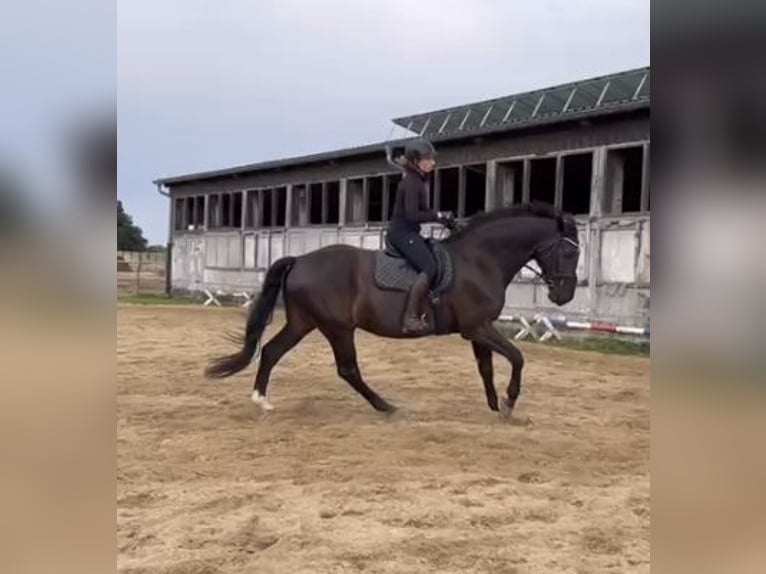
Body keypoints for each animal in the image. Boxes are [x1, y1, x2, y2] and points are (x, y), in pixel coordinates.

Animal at [204, 202, 584, 418]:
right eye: (569, 252)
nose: (564, 295)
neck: (480, 259)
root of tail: (299, 260)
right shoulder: (477, 326)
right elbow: (517, 357)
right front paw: (509, 402)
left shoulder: (479, 329)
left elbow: (487, 368)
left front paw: (494, 405)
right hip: (337, 327)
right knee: (347, 369)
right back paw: (385, 406)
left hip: (304, 322)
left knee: (270, 351)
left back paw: (261, 401)